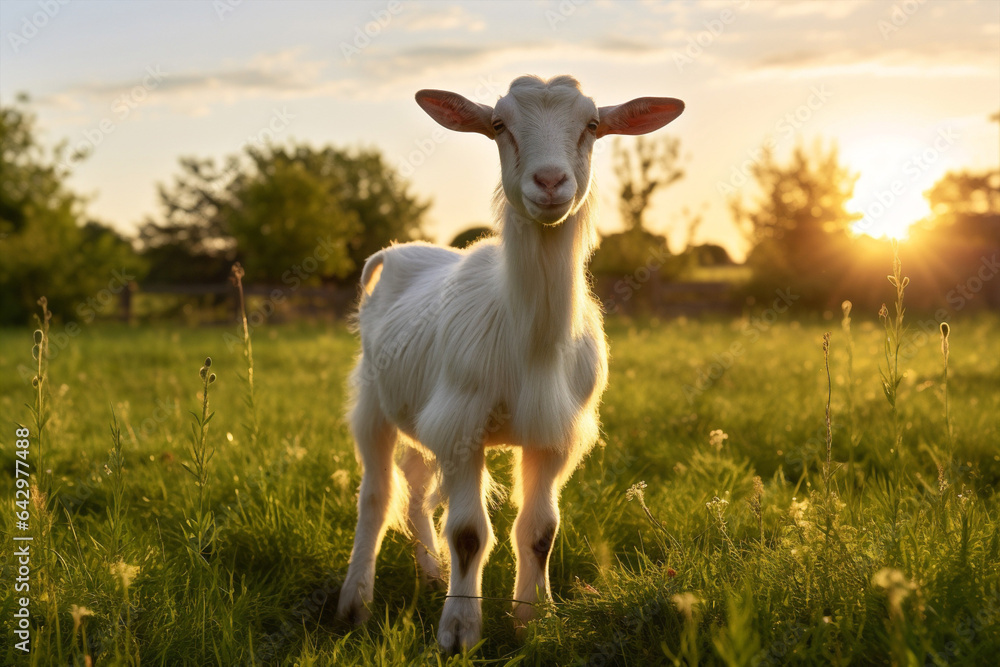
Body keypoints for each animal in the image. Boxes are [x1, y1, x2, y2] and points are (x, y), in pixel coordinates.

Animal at [336, 75, 684, 651]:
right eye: (499, 125)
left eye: (593, 125)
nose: (550, 181)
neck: (532, 343)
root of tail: (399, 249)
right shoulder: (462, 426)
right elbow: (469, 533)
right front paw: (459, 632)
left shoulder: (553, 435)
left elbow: (540, 531)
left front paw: (535, 622)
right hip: (372, 401)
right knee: (377, 496)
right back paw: (354, 602)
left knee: (415, 488)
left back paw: (429, 573)